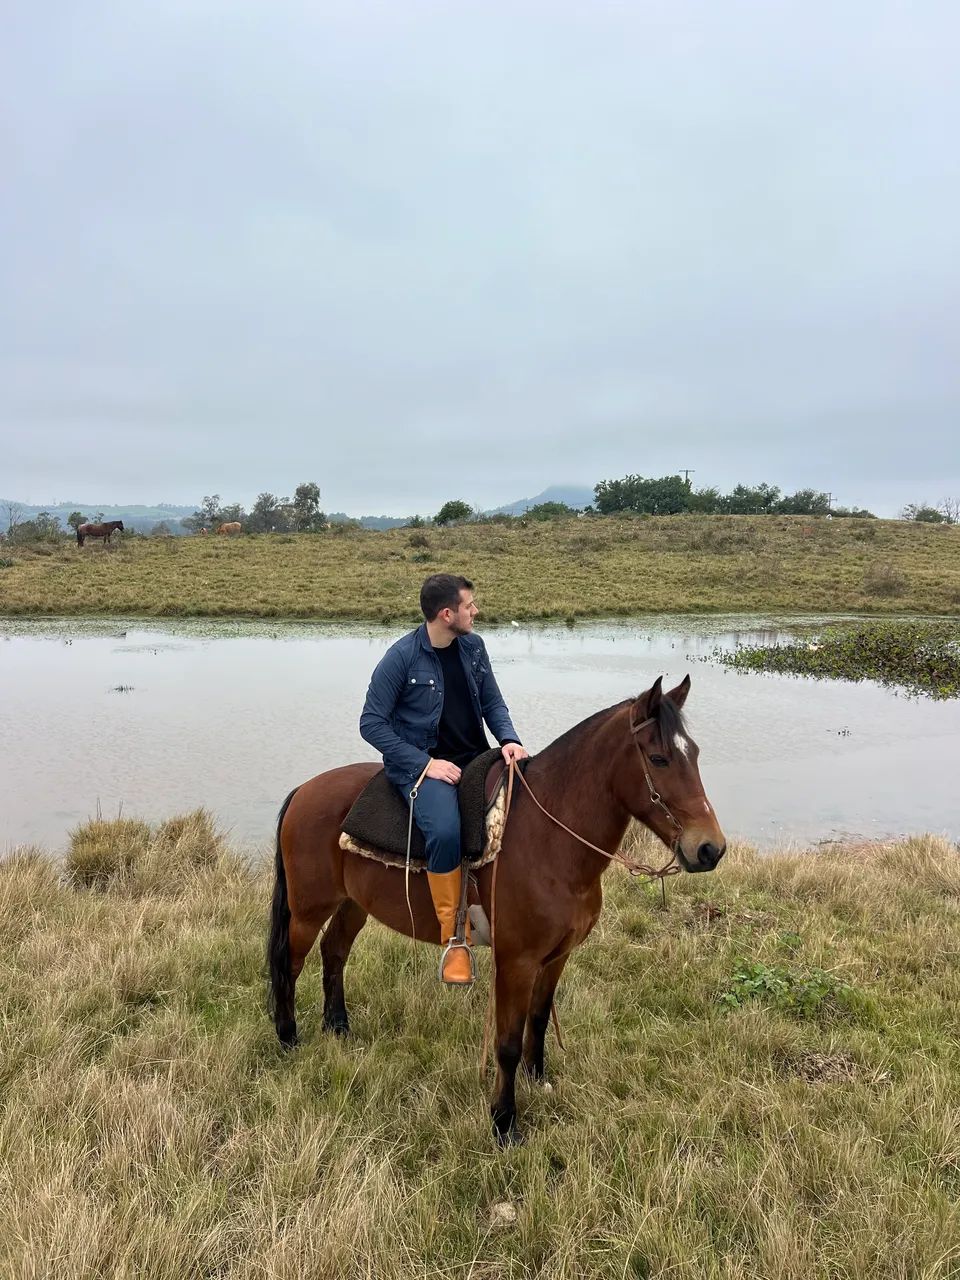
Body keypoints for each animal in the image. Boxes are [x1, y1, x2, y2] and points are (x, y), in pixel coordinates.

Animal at [267, 675, 726, 1141]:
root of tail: (304, 790)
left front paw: (537, 1079)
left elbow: (538, 1020)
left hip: (353, 904)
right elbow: (506, 1043)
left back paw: (338, 1027)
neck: (549, 839)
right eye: (659, 758)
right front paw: (504, 1123)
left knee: (334, 952)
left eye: (695, 754)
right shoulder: (516, 962)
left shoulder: (556, 957)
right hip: (308, 909)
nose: (710, 849)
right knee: (290, 963)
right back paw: (288, 1038)